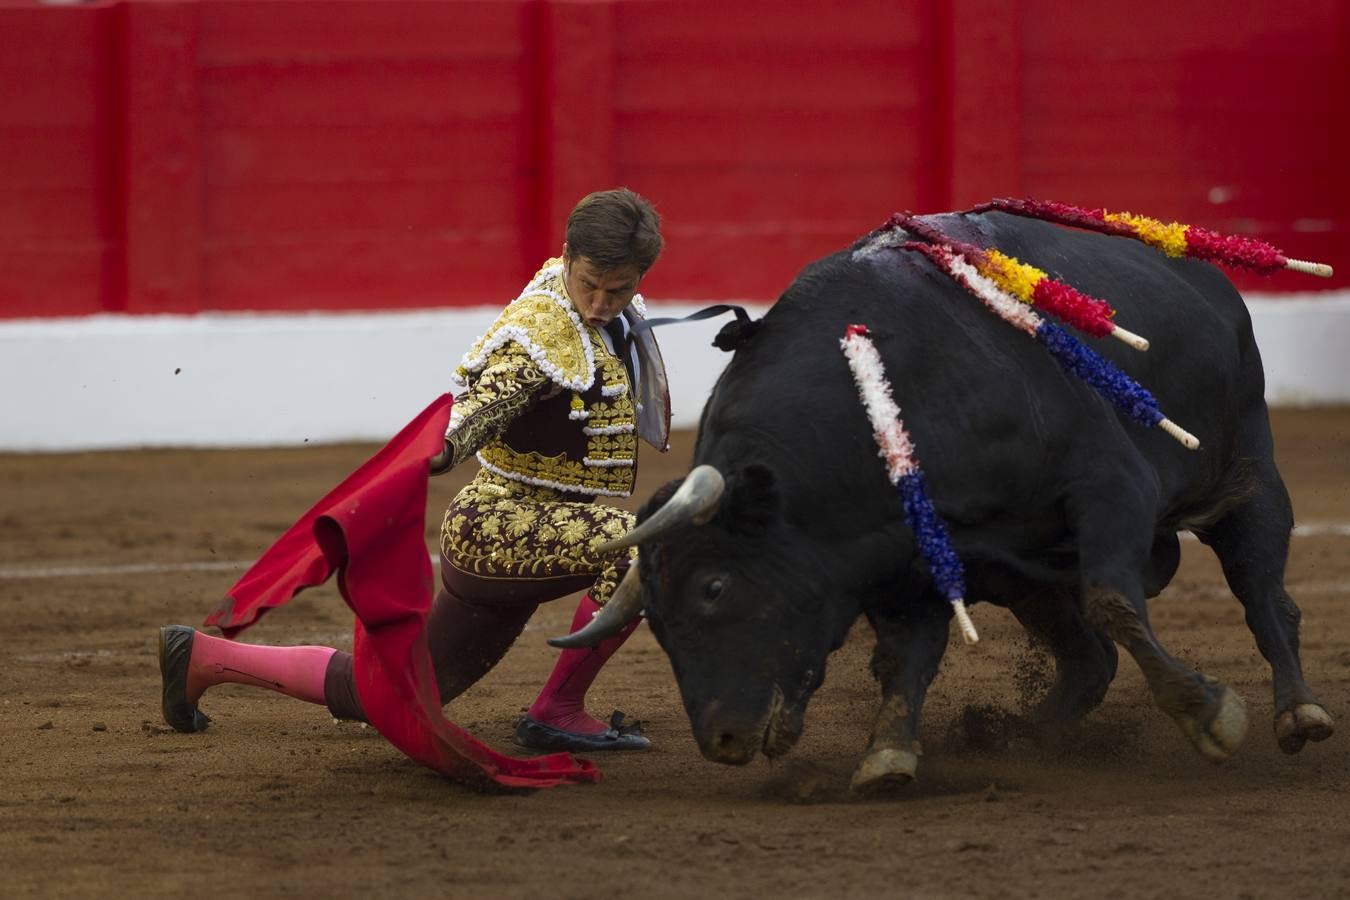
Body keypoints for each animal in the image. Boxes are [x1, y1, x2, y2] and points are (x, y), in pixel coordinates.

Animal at [575, 209, 1333, 788]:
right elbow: (906, 655)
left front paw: (1208, 713)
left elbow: (1113, 602)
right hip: (1027, 578)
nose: (721, 741)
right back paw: (1015, 734)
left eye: (714, 586)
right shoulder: (905, 560)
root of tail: (1204, 274)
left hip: (1248, 477)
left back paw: (1298, 714)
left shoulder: (1109, 485)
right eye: (656, 624)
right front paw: (889, 755)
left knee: (1265, 597)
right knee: (1089, 662)